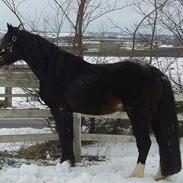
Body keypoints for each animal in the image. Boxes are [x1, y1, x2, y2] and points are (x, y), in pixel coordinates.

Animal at [0, 24, 181, 180]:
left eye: (8, 42)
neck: (55, 70)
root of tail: (158, 74)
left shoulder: (58, 109)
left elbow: (63, 137)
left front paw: (64, 163)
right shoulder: (68, 111)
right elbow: (69, 137)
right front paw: (69, 164)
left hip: (138, 114)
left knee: (145, 143)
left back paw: (135, 175)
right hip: (154, 115)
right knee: (163, 142)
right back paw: (160, 175)